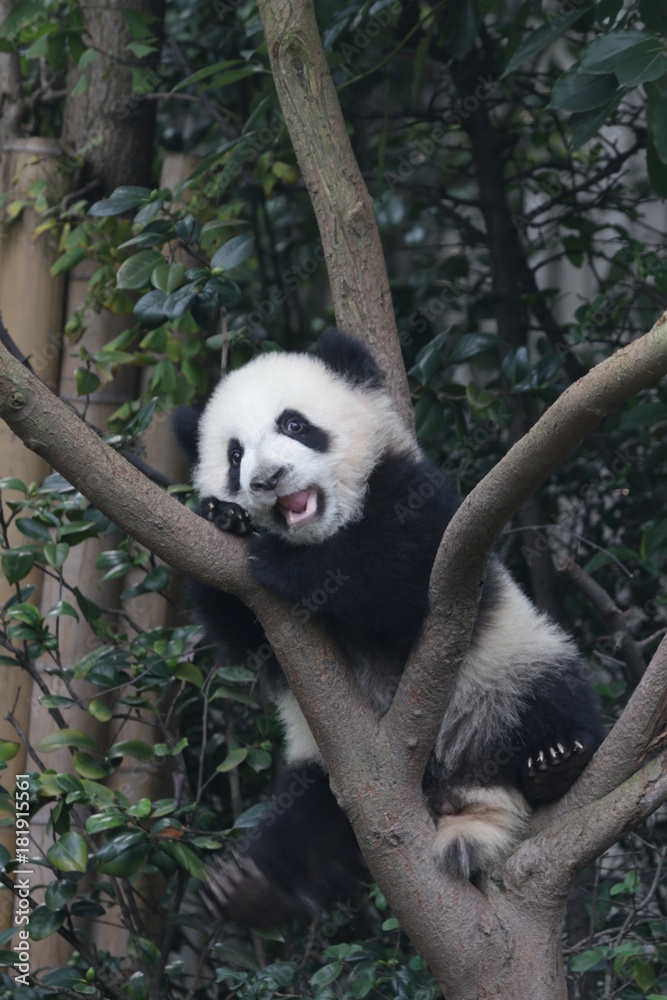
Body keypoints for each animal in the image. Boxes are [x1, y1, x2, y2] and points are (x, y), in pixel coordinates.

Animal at [177, 329, 603, 929]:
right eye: (235, 455)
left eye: (294, 424)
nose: (267, 480)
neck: (327, 524)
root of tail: (459, 790)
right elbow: (241, 634)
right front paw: (225, 517)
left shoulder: (429, 506)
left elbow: (403, 575)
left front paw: (281, 561)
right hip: (329, 767)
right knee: (311, 818)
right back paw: (251, 887)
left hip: (508, 670)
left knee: (553, 695)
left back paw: (555, 762)